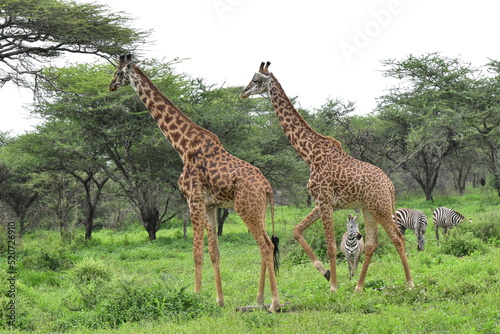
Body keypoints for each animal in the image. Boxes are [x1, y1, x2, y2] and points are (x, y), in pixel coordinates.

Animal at [110, 53, 282, 312]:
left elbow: (196, 253)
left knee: (266, 246)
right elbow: (214, 253)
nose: (110, 86)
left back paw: (273, 303)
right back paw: (259, 301)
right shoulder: (210, 205)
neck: (183, 146)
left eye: (119, 73)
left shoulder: (193, 199)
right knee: (264, 246)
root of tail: (268, 188)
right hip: (257, 209)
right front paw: (219, 301)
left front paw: (196, 296)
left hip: (246, 208)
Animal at [240, 62, 412, 292]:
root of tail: (391, 186)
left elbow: (330, 245)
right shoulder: (321, 202)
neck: (309, 154)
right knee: (372, 244)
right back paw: (358, 288)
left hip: (381, 207)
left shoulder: (324, 201)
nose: (243, 92)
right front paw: (326, 273)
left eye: (256, 80)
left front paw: (333, 286)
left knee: (397, 238)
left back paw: (410, 283)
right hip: (368, 209)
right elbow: (296, 230)